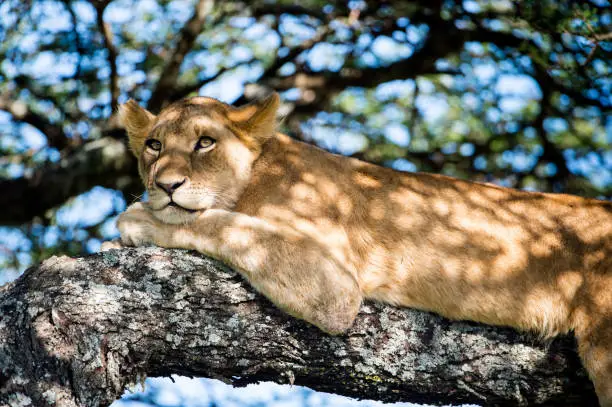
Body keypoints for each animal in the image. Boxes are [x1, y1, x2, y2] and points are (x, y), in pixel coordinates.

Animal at [111, 93, 612, 407]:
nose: (165, 185)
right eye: (154, 145)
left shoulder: (336, 287)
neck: (253, 176)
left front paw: (139, 220)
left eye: (205, 142)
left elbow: (219, 222)